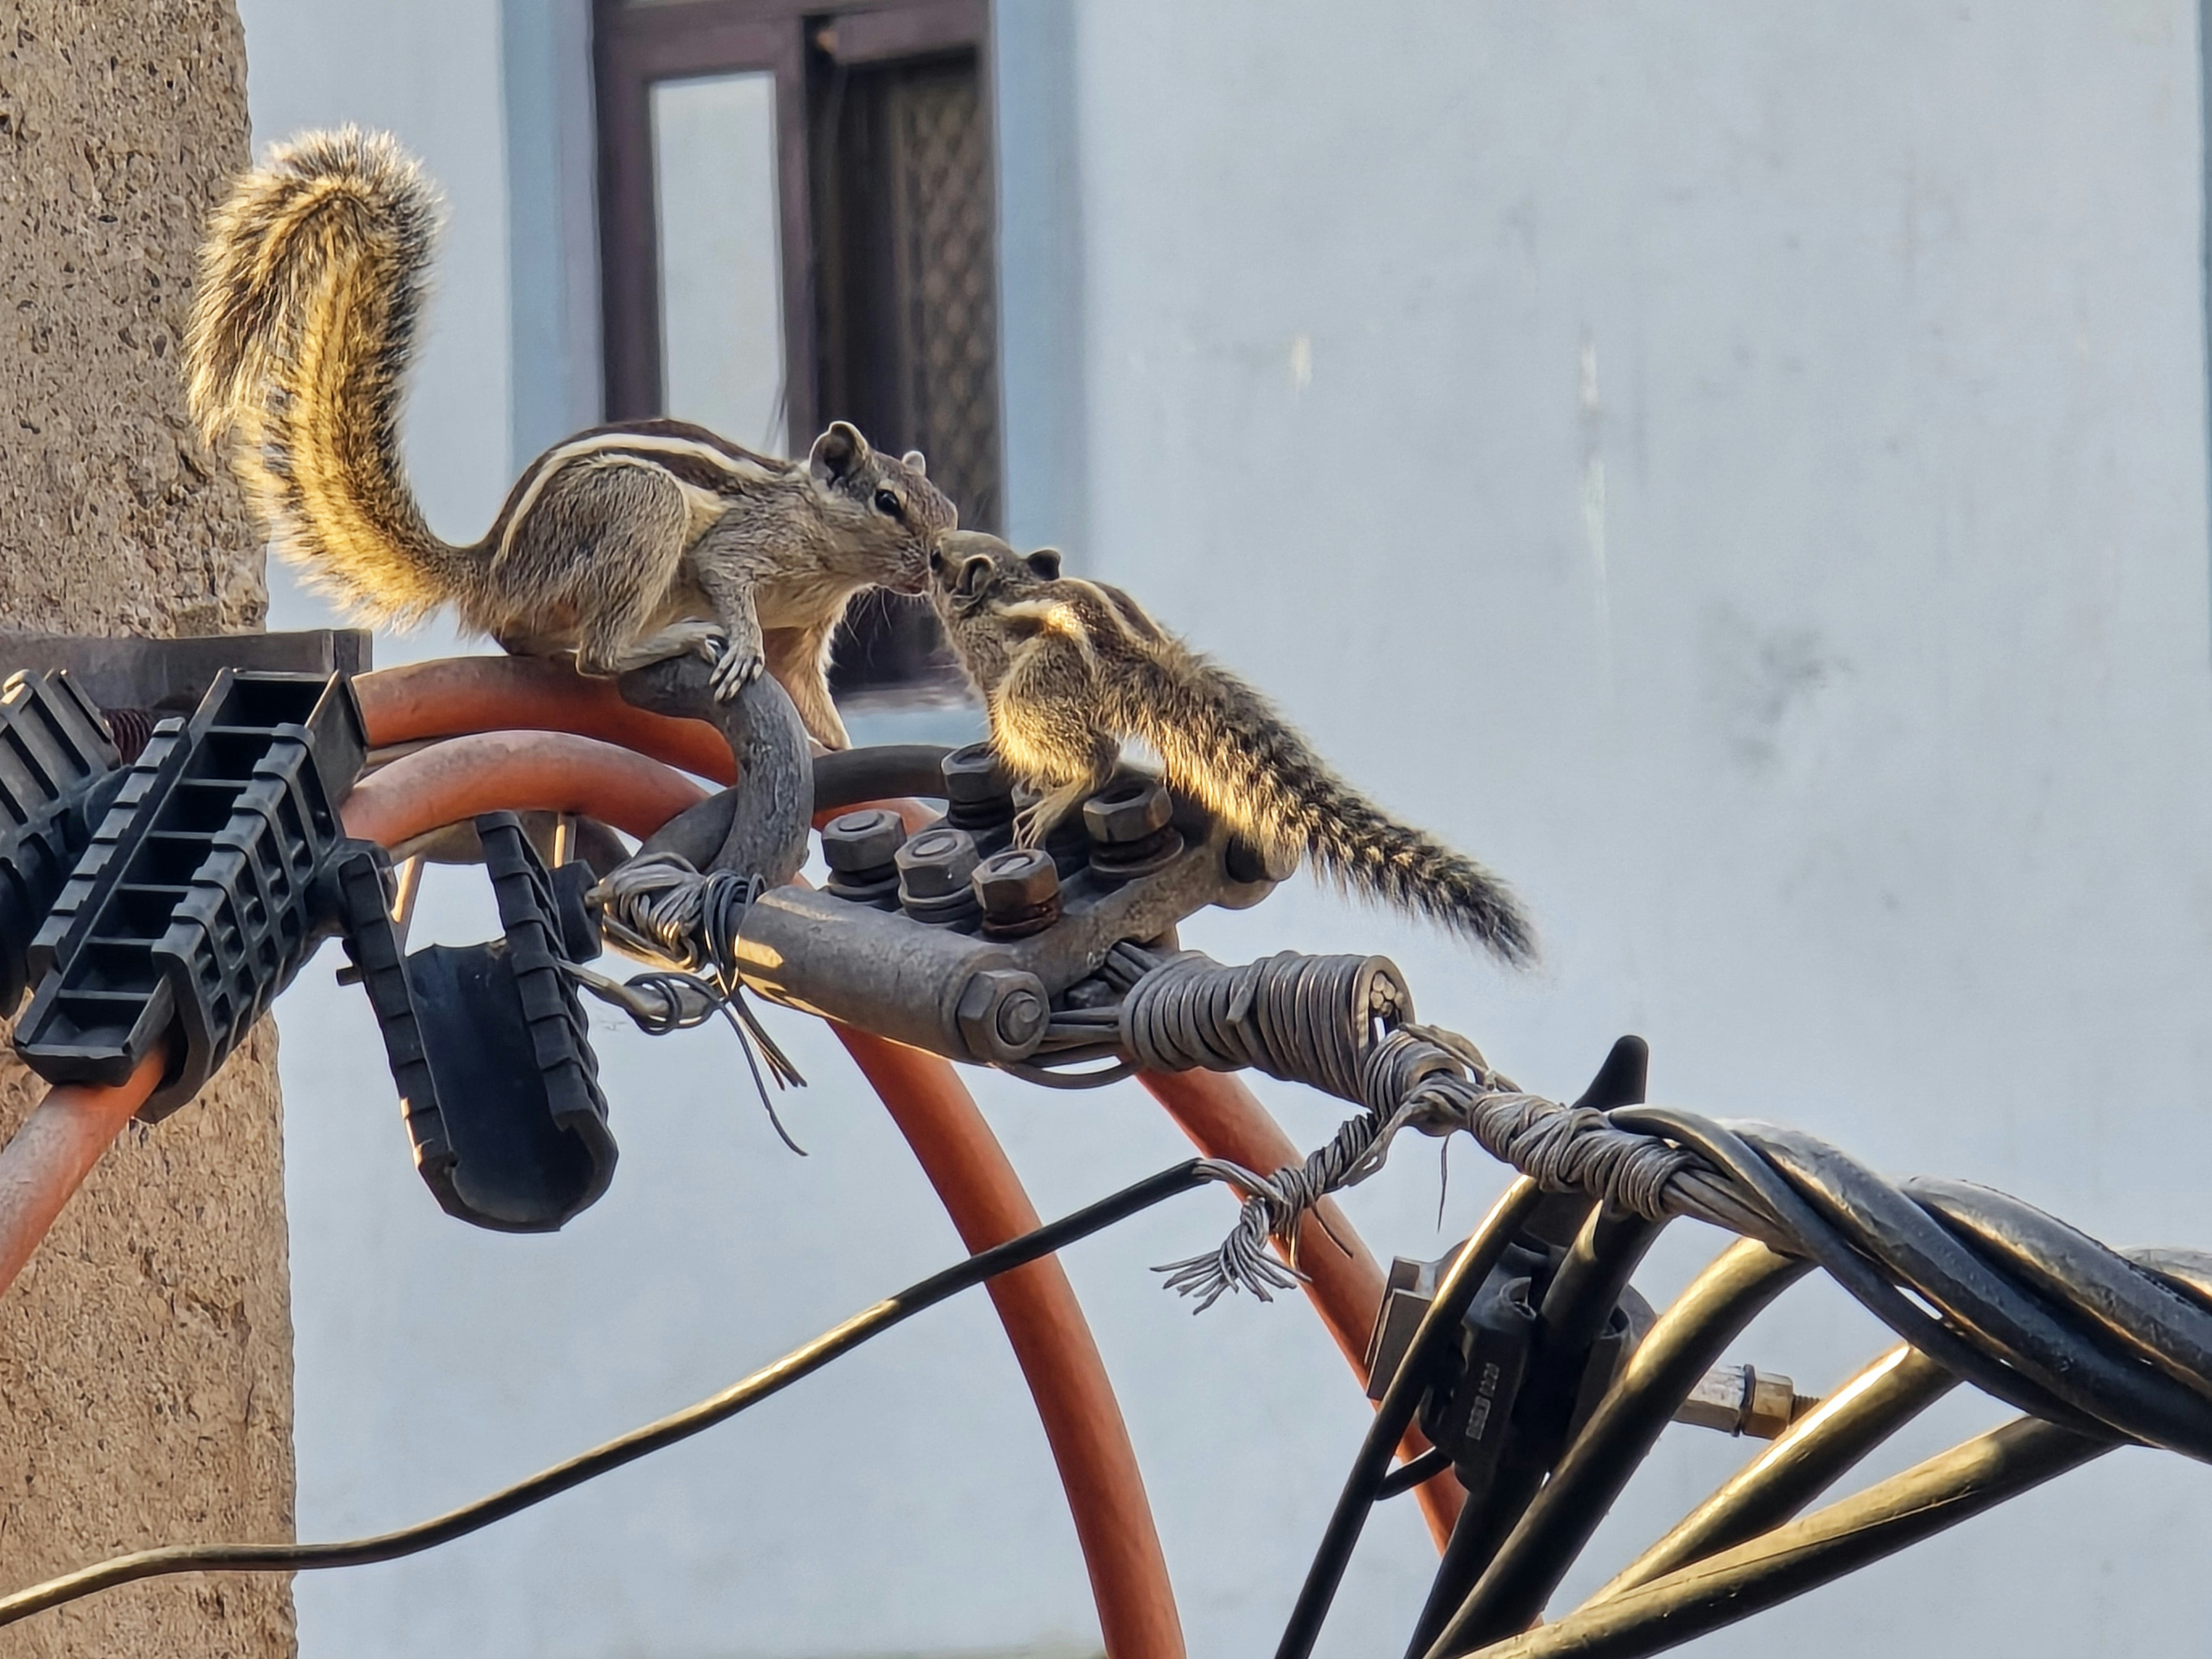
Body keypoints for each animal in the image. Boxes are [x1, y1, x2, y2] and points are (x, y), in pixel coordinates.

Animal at [182, 127, 957, 750]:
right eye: (888, 502)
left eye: (946, 510)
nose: (934, 569)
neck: (829, 560)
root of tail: (493, 570)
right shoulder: (742, 548)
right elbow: (727, 581)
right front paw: (740, 648)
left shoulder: (804, 638)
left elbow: (814, 706)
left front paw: (841, 752)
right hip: (640, 509)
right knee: (597, 655)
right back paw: (671, 638)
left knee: (539, 646)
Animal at [927, 531, 1537, 964]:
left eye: (936, 559)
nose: (927, 548)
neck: (1002, 586)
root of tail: (1139, 662)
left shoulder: (990, 672)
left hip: (1030, 689)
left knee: (1097, 756)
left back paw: (1062, 794)